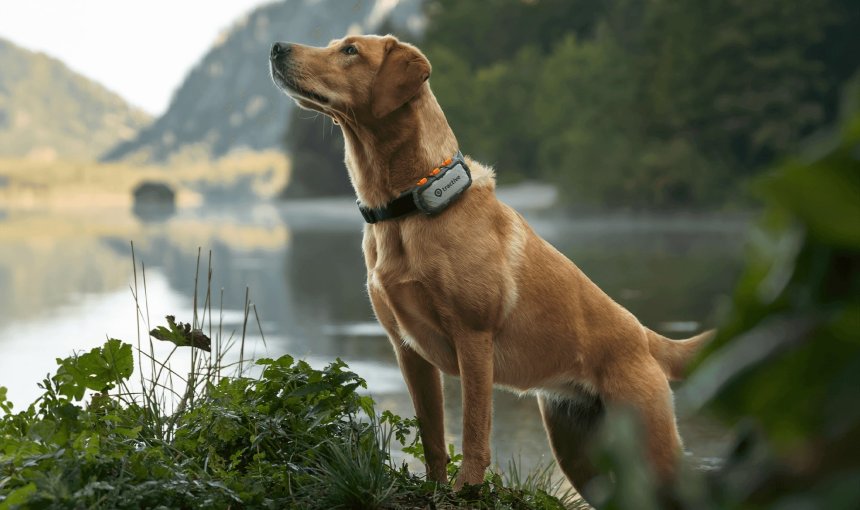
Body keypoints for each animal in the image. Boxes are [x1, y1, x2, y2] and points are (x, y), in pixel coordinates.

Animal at [270, 32, 712, 498]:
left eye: (350, 51)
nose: (277, 47)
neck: (409, 206)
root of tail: (645, 337)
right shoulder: (408, 351)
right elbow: (433, 435)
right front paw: (436, 487)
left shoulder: (474, 338)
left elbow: (474, 431)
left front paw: (466, 488)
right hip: (578, 454)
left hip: (652, 445)